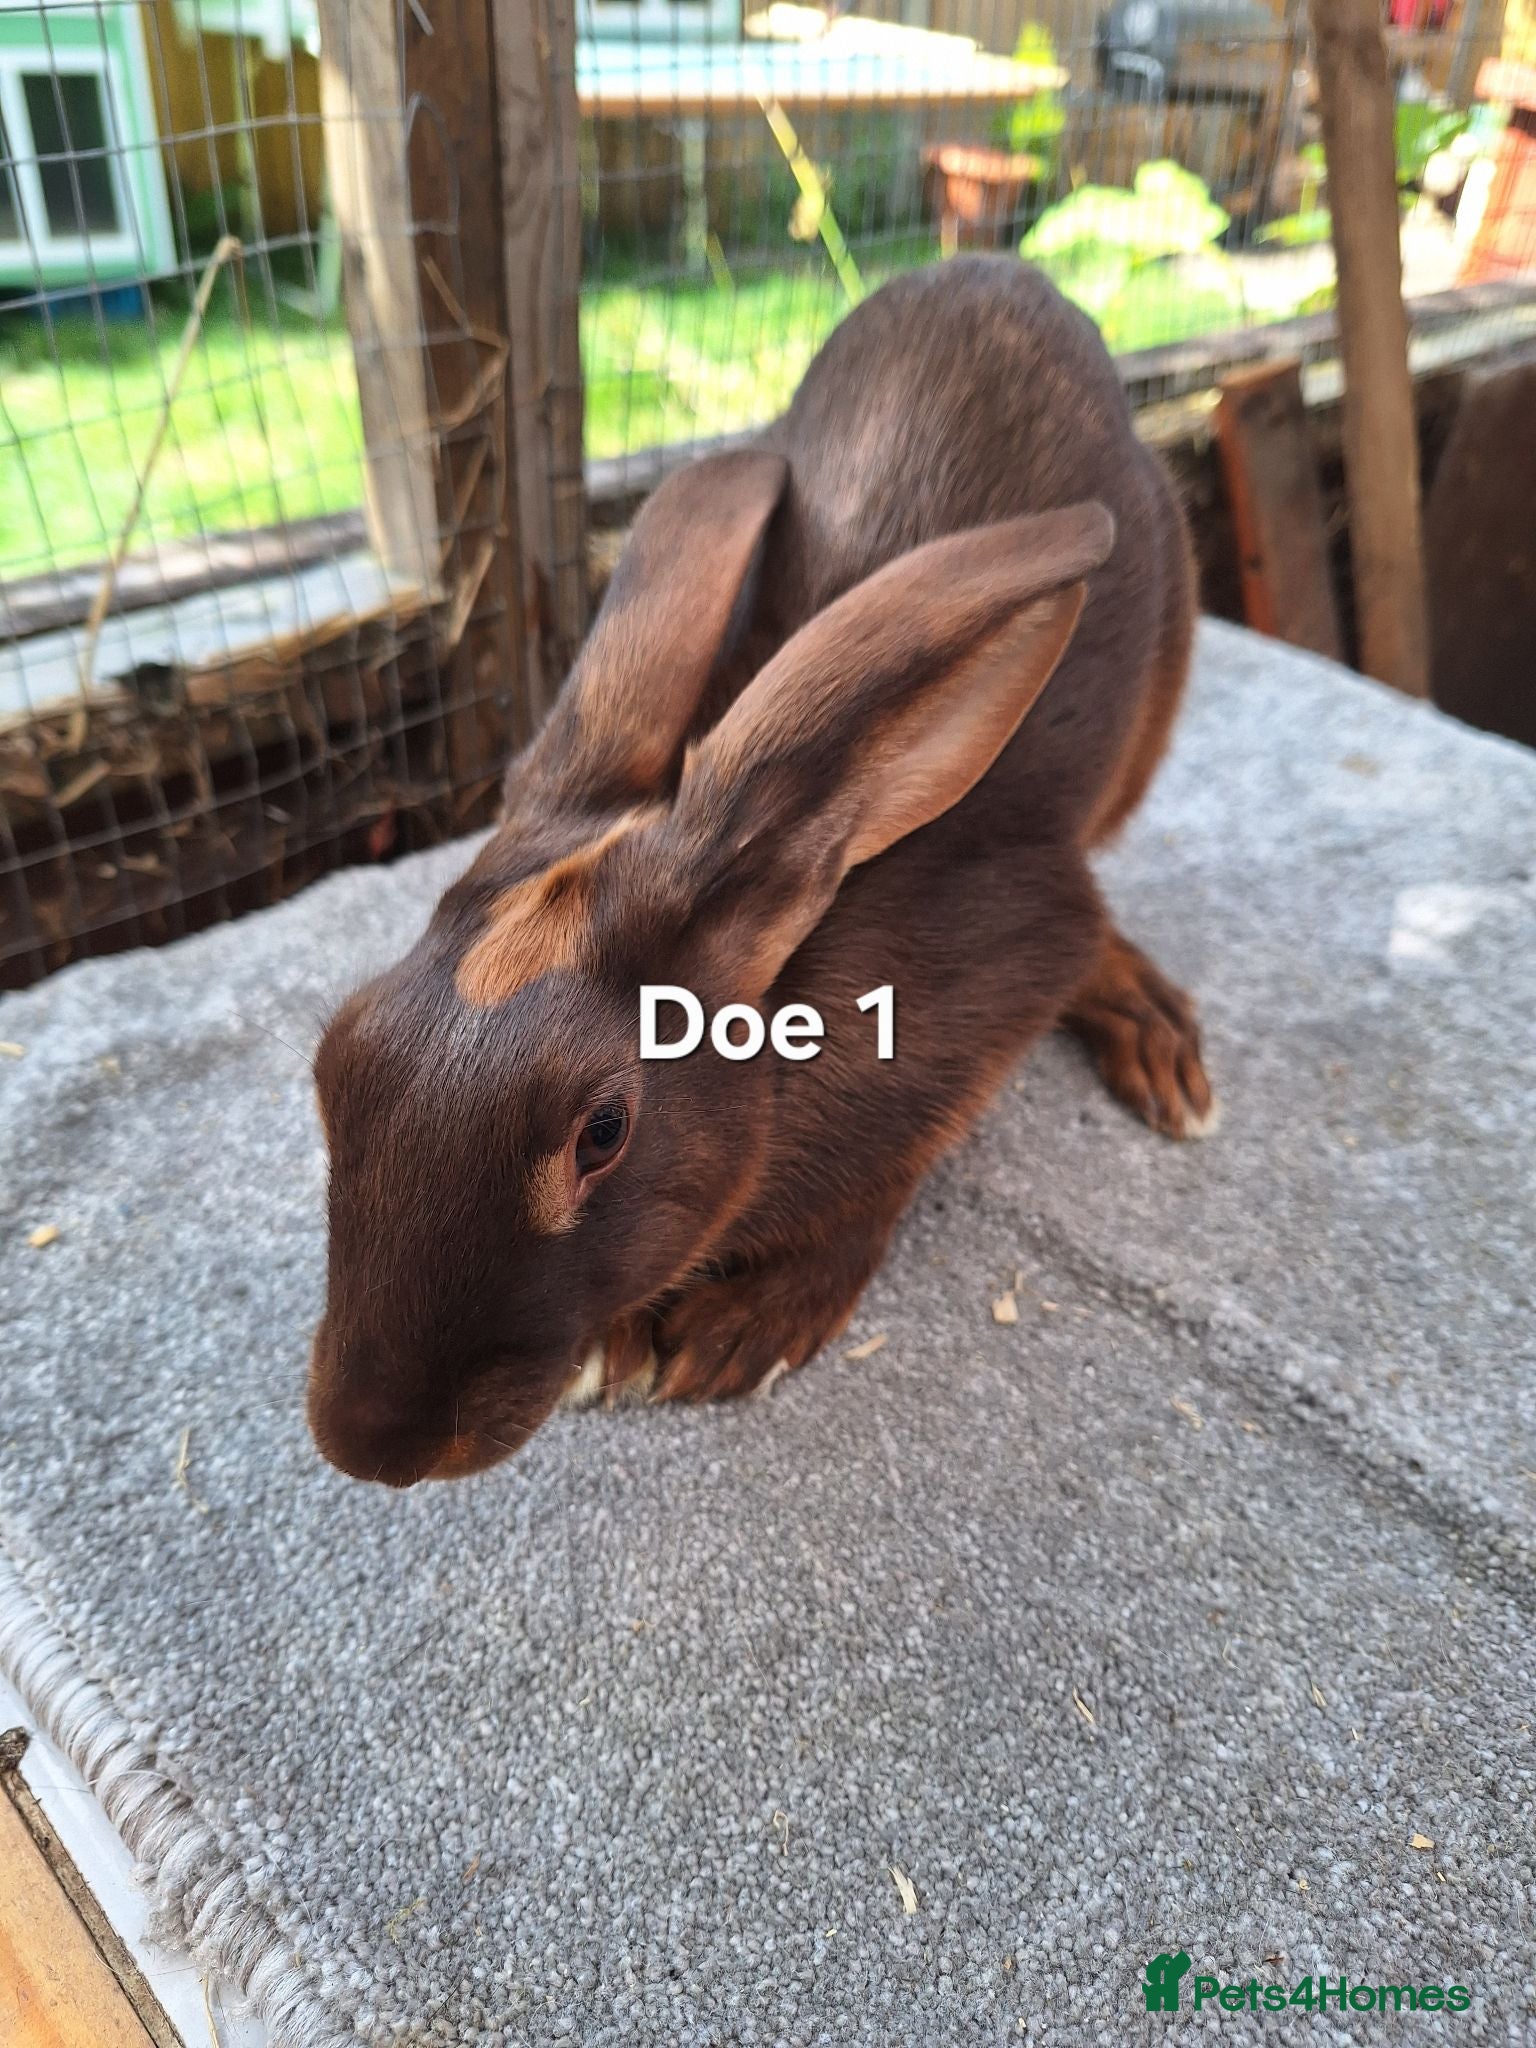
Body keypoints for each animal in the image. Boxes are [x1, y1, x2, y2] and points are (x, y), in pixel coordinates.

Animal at [308, 255, 1214, 1488]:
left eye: (603, 1132)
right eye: (333, 1063)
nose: (369, 1442)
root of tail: (1001, 271)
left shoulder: (1002, 978)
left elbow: (891, 1175)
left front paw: (746, 1326)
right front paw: (621, 1346)